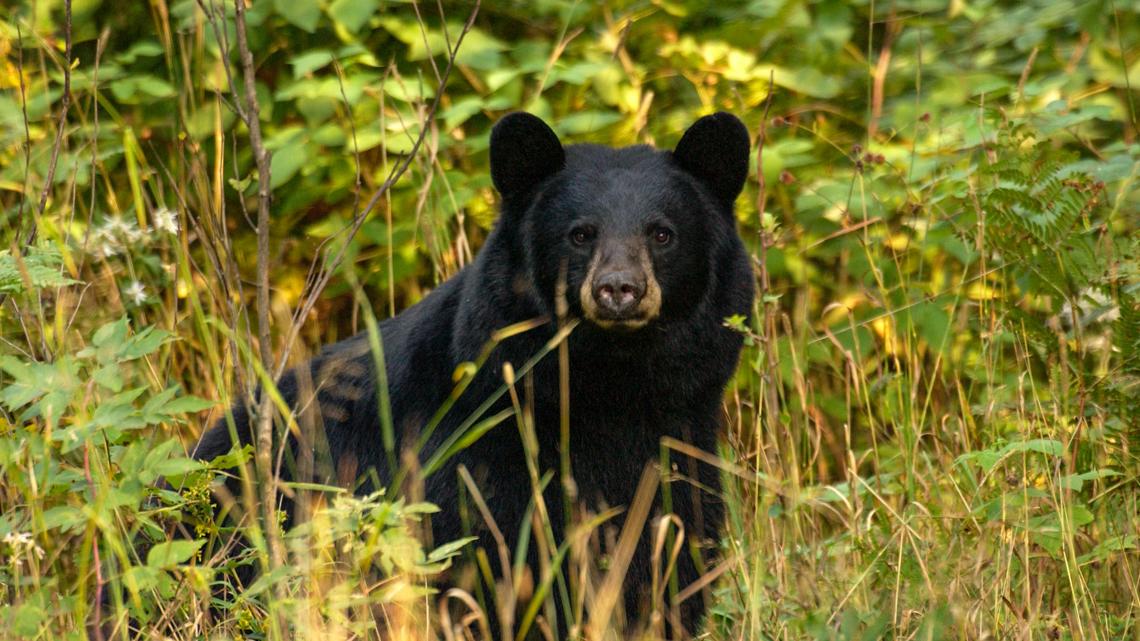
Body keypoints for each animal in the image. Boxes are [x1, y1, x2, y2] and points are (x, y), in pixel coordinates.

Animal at [191, 111, 755, 636]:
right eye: (580, 234)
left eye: (662, 234)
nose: (620, 288)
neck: (609, 383)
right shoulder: (472, 458)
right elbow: (482, 563)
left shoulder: (679, 441)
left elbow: (669, 557)